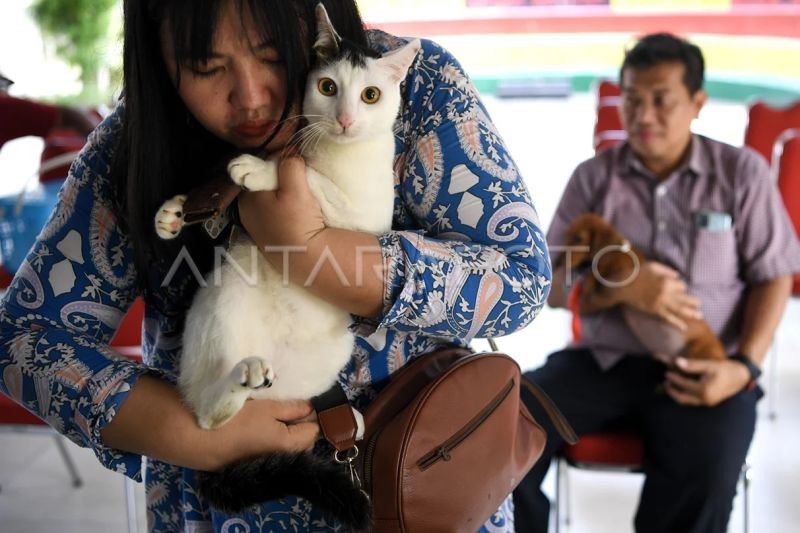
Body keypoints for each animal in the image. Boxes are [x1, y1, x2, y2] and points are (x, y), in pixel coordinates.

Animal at [154, 4, 422, 524]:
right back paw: (238, 382)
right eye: (328, 87)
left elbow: (311, 183)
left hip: (328, 353)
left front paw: (260, 171)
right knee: (206, 416)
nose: (344, 119)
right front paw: (176, 211)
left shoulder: (362, 220)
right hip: (223, 297)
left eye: (371, 95)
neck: (329, 151)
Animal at [556, 213, 724, 362]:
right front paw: (579, 272)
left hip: (700, 351)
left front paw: (586, 279)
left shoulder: (618, 268)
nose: (557, 262)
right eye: (566, 235)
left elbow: (595, 271)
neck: (616, 250)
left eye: (578, 238)